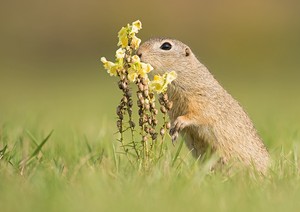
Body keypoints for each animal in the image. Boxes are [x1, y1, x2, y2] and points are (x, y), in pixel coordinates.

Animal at [137, 37, 270, 173]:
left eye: (166, 46)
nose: (138, 52)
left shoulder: (202, 100)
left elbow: (199, 114)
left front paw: (180, 122)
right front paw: (173, 132)